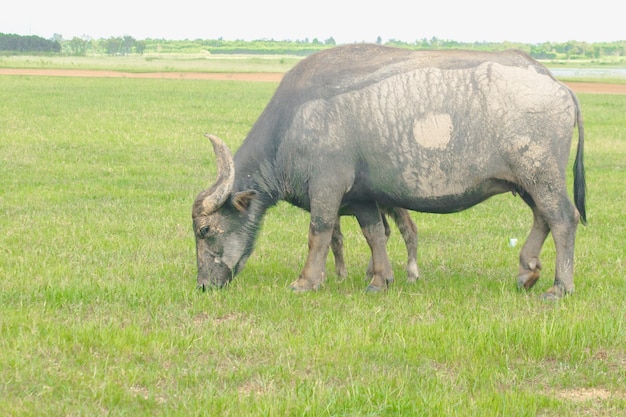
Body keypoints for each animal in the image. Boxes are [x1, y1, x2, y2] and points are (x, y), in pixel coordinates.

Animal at [193, 44, 584, 298]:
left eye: (204, 230)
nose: (203, 285)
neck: (291, 126)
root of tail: (557, 84)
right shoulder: (362, 198)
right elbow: (374, 235)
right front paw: (380, 280)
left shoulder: (327, 188)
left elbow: (319, 232)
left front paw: (306, 281)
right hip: (527, 182)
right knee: (543, 218)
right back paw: (527, 271)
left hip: (541, 175)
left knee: (563, 218)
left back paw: (559, 286)